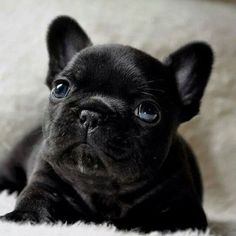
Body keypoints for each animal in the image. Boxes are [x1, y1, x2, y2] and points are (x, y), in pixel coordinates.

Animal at [0, 16, 214, 232]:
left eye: (148, 111)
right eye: (60, 88)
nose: (91, 115)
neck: (101, 187)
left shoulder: (184, 210)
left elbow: (158, 222)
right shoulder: (45, 180)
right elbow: (35, 199)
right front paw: (23, 217)